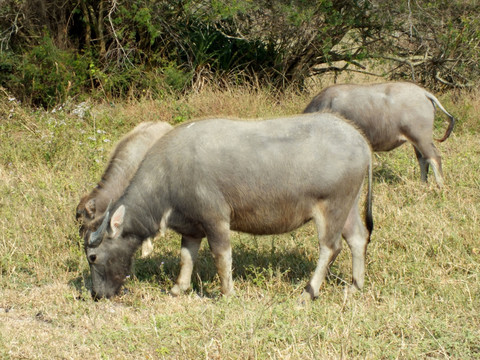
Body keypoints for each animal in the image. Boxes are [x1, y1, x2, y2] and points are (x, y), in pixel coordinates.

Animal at [302, 82, 456, 187]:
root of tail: (424, 93)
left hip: (421, 138)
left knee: (434, 157)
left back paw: (440, 186)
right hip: (416, 141)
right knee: (423, 160)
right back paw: (423, 183)